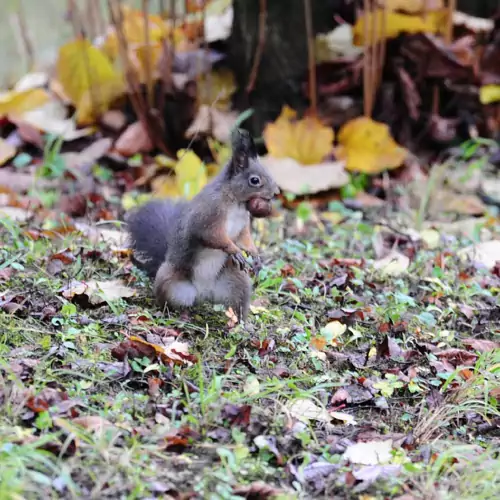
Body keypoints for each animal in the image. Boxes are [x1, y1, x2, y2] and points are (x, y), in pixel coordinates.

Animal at [125, 129, 280, 322]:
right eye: (254, 180)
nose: (276, 192)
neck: (236, 202)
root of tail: (204, 294)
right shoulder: (209, 215)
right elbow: (212, 236)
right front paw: (234, 250)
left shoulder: (243, 224)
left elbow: (245, 238)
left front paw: (255, 255)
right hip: (170, 282)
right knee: (170, 302)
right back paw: (177, 315)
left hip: (237, 282)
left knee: (237, 305)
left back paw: (242, 323)